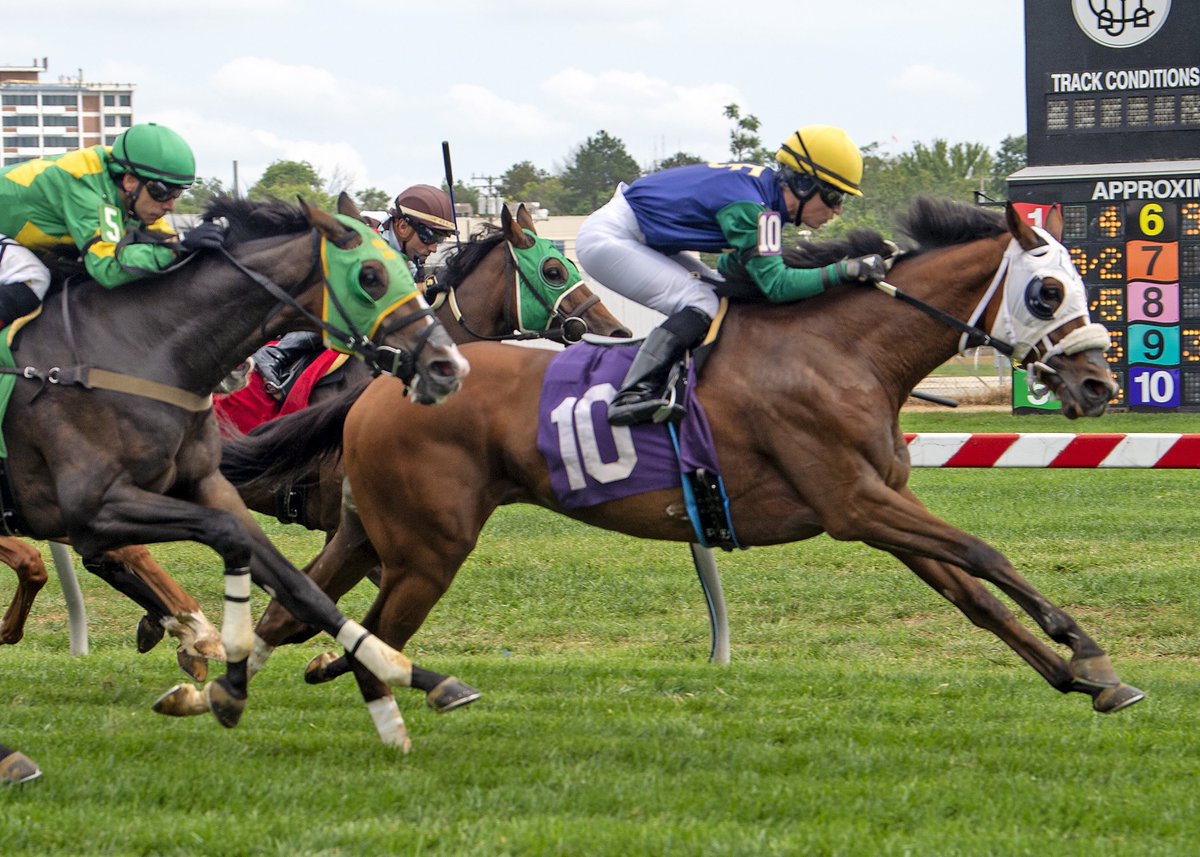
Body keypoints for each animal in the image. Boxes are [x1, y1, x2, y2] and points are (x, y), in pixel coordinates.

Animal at [0, 190, 468, 729]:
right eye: (369, 276)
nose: (447, 366)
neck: (132, 350)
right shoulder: (93, 506)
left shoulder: (209, 487)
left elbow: (302, 589)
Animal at [231, 196, 1142, 744]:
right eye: (1049, 292)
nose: (1101, 384)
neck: (842, 350)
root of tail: (382, 385)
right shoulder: (854, 503)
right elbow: (988, 554)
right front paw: (1090, 651)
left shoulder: (881, 506)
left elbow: (975, 597)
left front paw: (1082, 679)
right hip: (428, 548)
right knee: (366, 630)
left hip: (369, 532)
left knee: (299, 609)